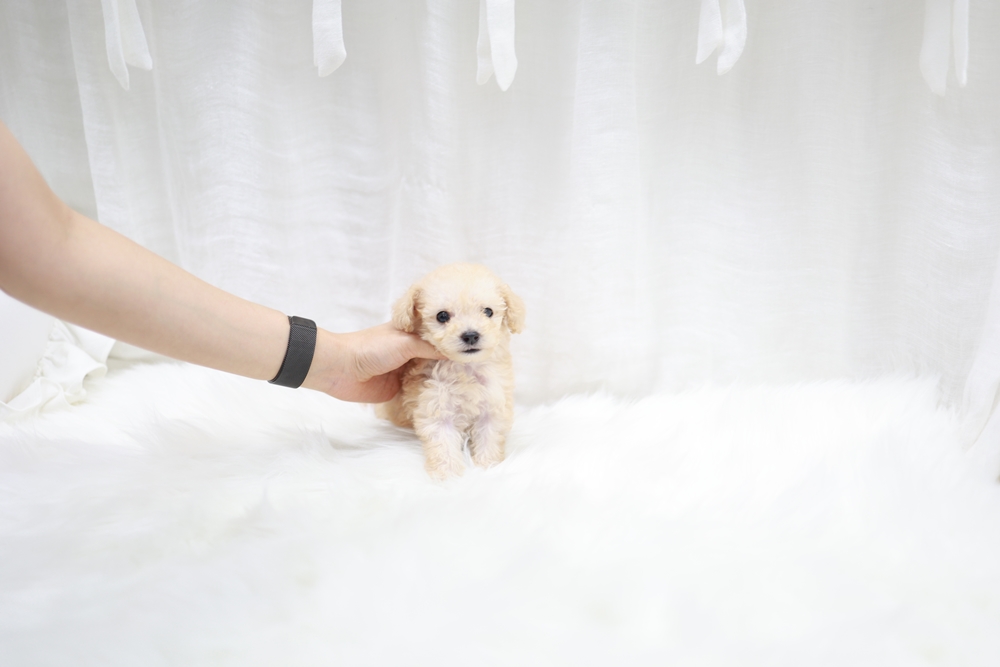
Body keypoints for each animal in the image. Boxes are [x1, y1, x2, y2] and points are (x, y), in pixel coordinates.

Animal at [376, 263, 525, 479]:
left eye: (488, 311)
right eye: (442, 316)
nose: (471, 335)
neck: (465, 368)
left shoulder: (493, 406)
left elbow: (488, 439)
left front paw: (487, 468)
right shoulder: (435, 407)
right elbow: (444, 446)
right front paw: (449, 477)